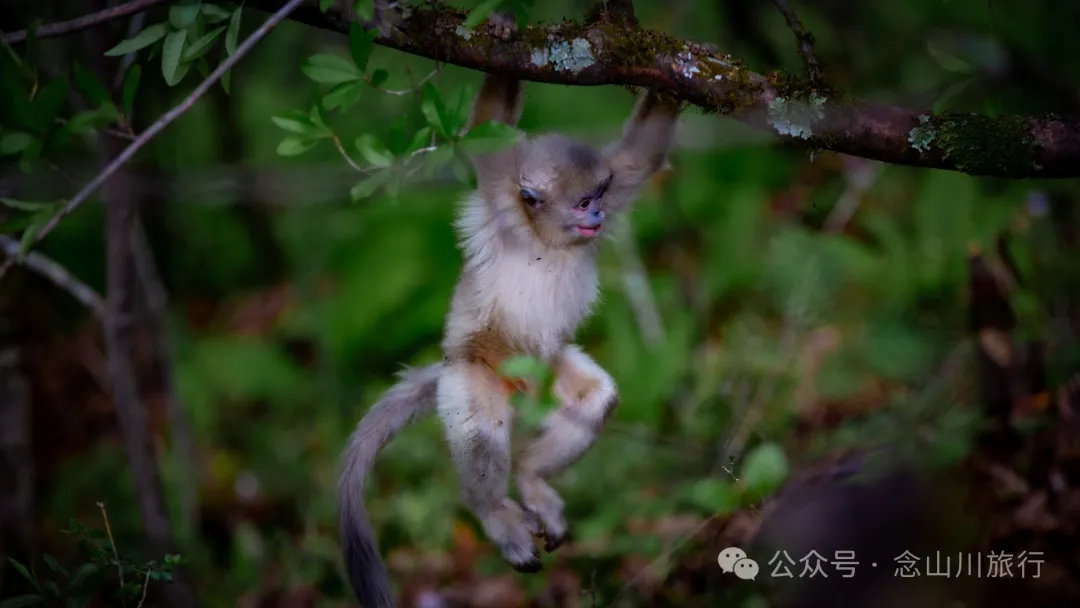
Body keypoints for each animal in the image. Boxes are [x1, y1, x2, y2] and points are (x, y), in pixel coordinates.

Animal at [337, 73, 681, 607]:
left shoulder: (618, 181)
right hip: (471, 378)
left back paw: (530, 478)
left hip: (544, 368)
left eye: (600, 195)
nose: (599, 217)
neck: (545, 239)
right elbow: (487, 124)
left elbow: (641, 154)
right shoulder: (499, 199)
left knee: (594, 400)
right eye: (584, 202)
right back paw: (497, 512)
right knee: (482, 434)